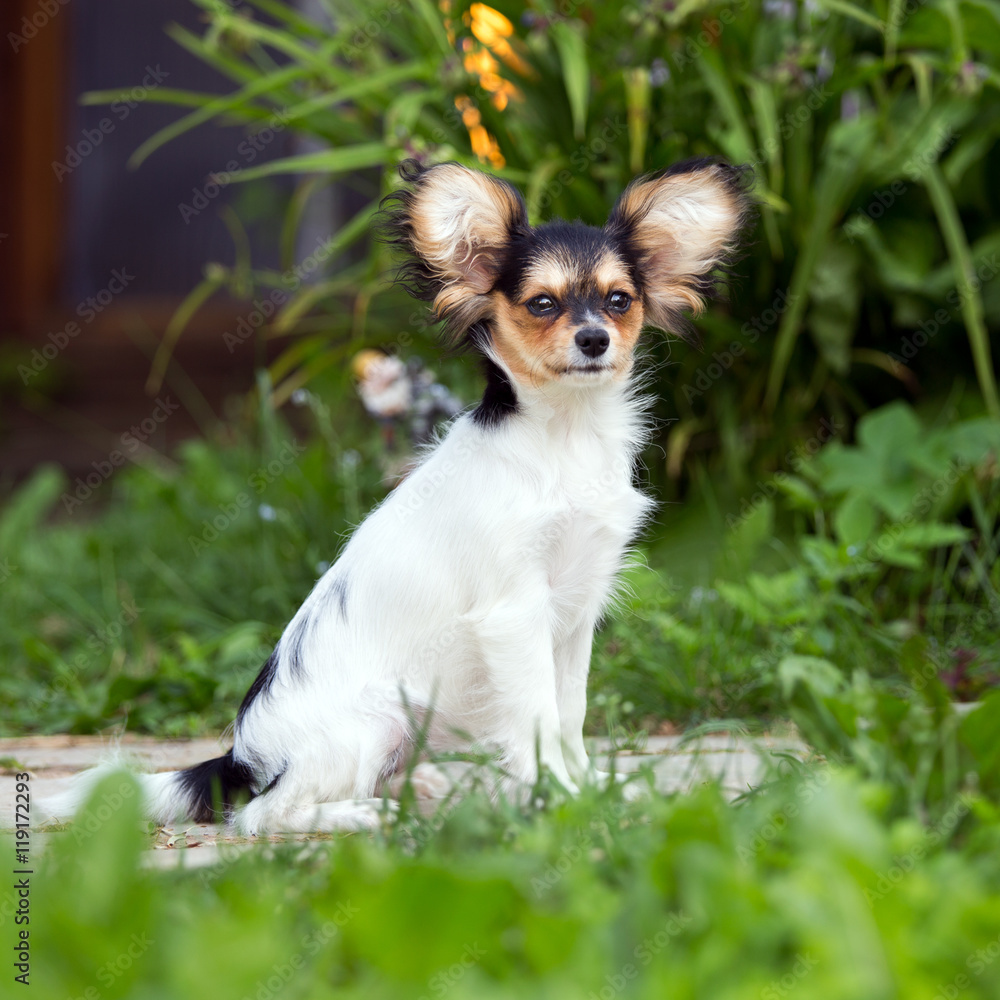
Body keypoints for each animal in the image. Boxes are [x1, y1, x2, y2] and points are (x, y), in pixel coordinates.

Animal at [46, 157, 751, 833]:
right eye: (543, 305)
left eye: (618, 300)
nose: (594, 339)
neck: (564, 438)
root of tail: (241, 759)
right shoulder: (515, 612)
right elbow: (538, 720)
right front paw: (561, 798)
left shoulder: (576, 612)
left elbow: (569, 713)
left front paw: (591, 790)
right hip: (370, 726)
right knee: (260, 817)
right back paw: (368, 815)